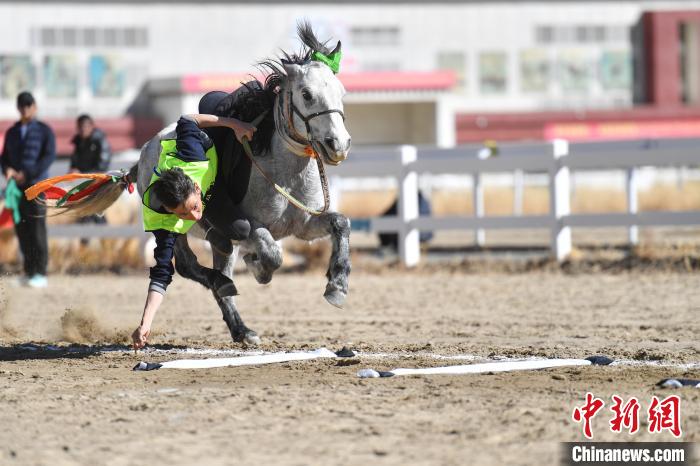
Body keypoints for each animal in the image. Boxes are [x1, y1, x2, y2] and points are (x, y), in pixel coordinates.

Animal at [33, 23, 351, 346]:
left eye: (341, 92)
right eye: (307, 94)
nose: (338, 145)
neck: (284, 171)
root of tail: (144, 153)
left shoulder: (303, 225)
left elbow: (340, 223)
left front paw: (336, 286)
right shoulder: (253, 225)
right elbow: (270, 251)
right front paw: (258, 266)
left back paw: (240, 326)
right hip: (176, 227)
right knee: (191, 265)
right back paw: (232, 300)